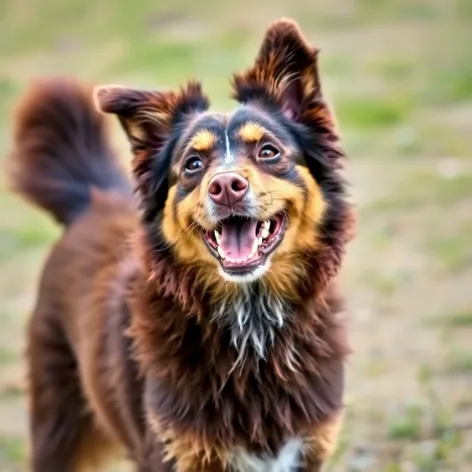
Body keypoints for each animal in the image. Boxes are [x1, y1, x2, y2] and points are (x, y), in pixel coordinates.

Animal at [7, 18, 354, 472]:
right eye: (193, 163)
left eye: (268, 151)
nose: (226, 186)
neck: (251, 320)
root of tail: (91, 198)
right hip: (57, 420)